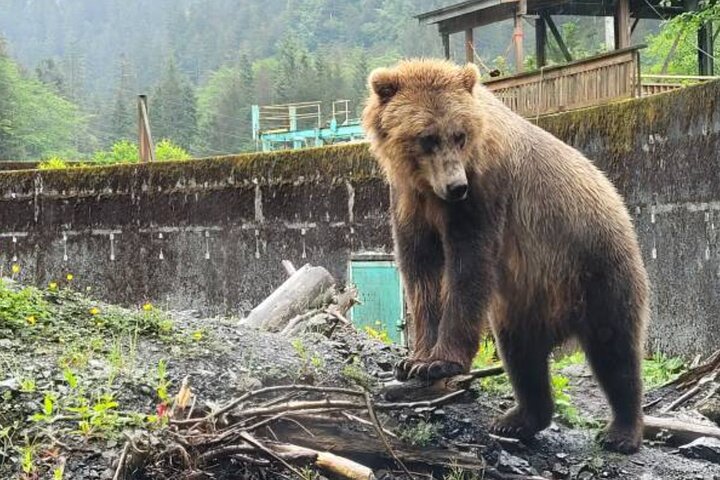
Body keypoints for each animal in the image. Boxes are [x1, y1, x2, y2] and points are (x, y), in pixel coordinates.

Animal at [361, 58, 650, 454]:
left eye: (459, 134)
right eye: (427, 137)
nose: (456, 186)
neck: (429, 189)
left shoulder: (484, 193)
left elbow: (468, 266)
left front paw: (439, 362)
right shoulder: (409, 202)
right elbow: (421, 273)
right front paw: (414, 361)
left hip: (595, 266)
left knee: (615, 350)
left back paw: (621, 432)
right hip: (526, 300)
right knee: (522, 356)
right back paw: (517, 420)